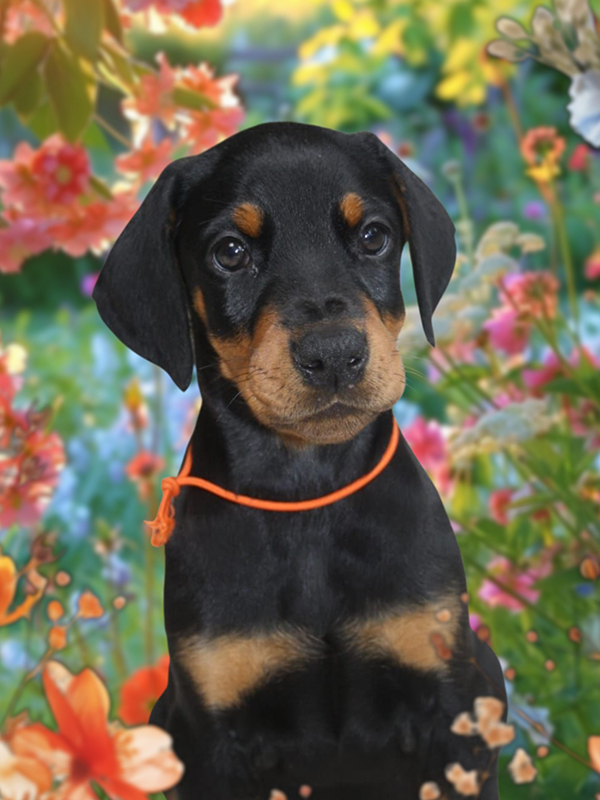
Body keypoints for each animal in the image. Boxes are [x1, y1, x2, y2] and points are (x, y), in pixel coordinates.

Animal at [94, 122, 507, 800]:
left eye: (372, 236)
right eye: (230, 252)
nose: (334, 355)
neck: (307, 491)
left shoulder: (450, 705)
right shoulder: (212, 738)